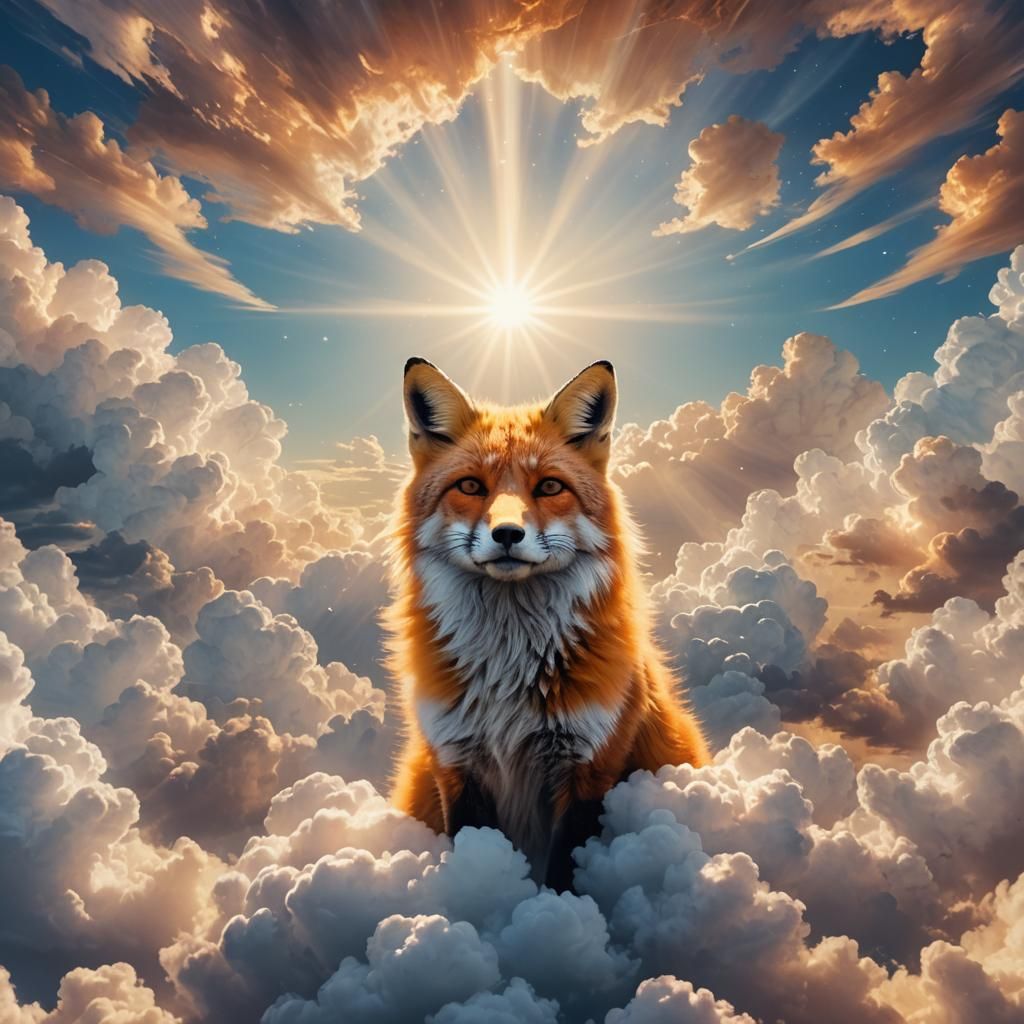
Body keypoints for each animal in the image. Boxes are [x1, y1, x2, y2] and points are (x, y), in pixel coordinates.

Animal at [385, 357, 709, 890]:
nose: (507, 534)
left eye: (550, 486)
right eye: (471, 486)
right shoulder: (456, 763)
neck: (508, 671)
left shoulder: (590, 765)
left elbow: (562, 873)